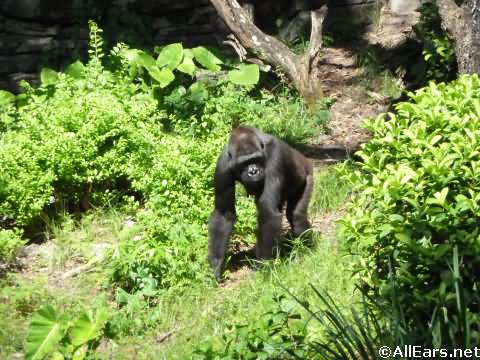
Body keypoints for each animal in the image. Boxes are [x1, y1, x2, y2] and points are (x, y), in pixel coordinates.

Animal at [207, 126, 314, 282]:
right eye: (244, 163)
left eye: (256, 159)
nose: (253, 171)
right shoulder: (222, 165)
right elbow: (224, 213)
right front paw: (215, 266)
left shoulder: (275, 155)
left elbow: (268, 213)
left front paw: (264, 268)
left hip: (307, 175)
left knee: (296, 217)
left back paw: (306, 250)